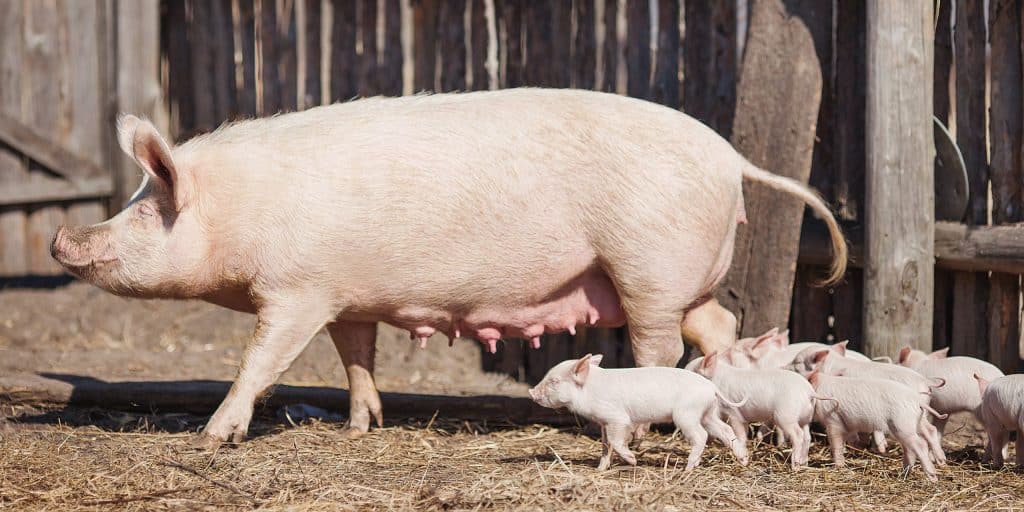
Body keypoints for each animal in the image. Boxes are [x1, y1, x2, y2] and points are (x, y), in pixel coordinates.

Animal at [49, 87, 847, 444]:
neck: (241, 211)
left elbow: (258, 362)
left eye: (145, 211)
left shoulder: (296, 293)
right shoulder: (344, 295)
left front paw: (214, 437)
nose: (60, 238)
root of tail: (731, 158)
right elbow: (357, 357)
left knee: (660, 347)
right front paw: (362, 428)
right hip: (683, 280)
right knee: (719, 327)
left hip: (648, 267)